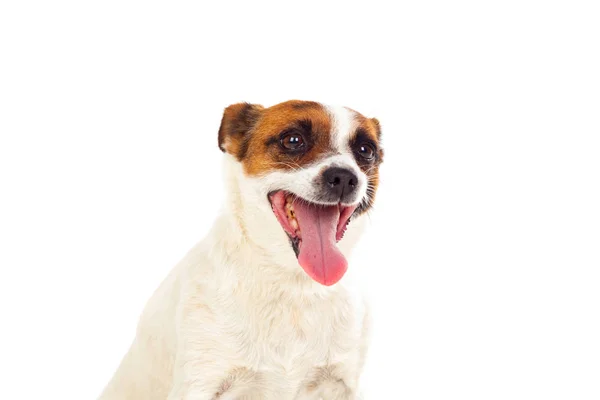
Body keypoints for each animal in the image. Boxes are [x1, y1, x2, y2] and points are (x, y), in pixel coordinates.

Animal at [97, 100, 380, 400]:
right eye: (293, 140)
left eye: (366, 150)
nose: (344, 177)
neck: (292, 284)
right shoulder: (199, 382)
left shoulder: (342, 383)